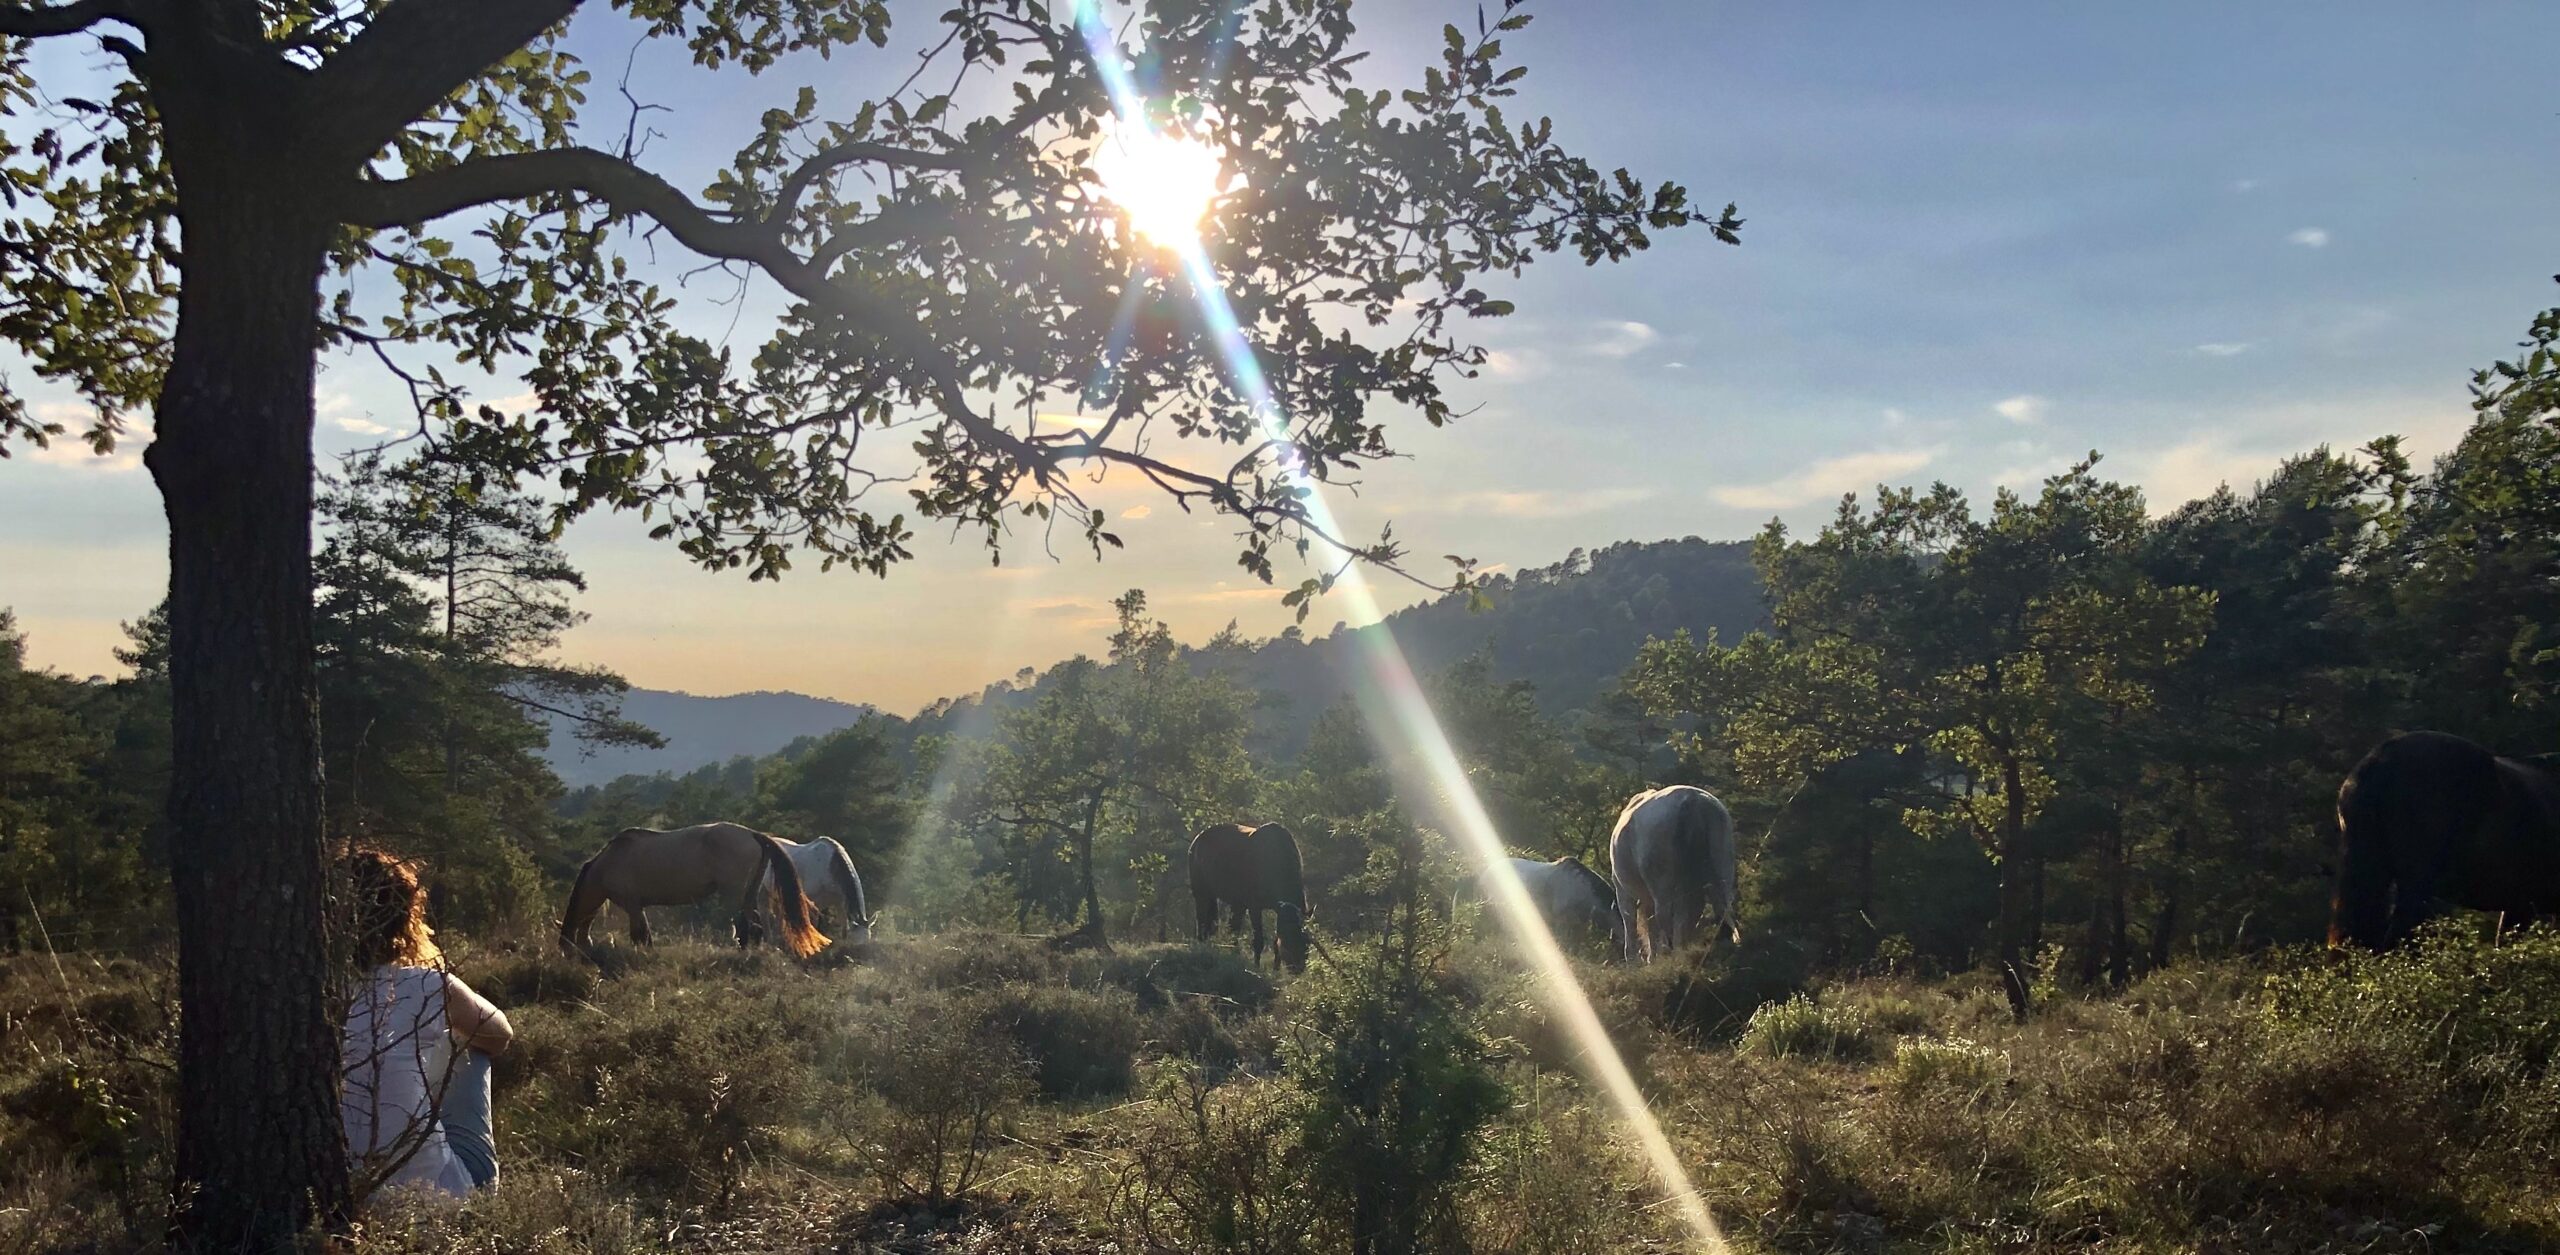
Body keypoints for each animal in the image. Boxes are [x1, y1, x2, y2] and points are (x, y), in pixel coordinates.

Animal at [560, 824, 829, 963]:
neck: (609, 862)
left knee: (745, 924)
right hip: (749, 893)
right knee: (754, 925)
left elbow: (640, 936)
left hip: (734, 893)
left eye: (566, 948)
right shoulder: (638, 907)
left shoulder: (633, 906)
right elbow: (644, 934)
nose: (570, 960)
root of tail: (752, 834)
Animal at [1187, 819, 1310, 973]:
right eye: (1290, 937)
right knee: (1202, 921)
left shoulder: (1278, 910)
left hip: (1231, 902)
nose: (1298, 969)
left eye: (1307, 941)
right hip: (1201, 894)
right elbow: (1258, 940)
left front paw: (1275, 970)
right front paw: (1256, 967)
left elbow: (1275, 942)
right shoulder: (1255, 907)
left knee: (1231, 928)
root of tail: (1196, 841)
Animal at [1464, 855, 1617, 957]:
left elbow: (1575, 945)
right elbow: (1564, 944)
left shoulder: (1580, 924)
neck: (1579, 889)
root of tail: (1484, 874)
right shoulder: (1561, 921)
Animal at [1597, 783, 1740, 968]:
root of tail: (1691, 800)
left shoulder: (1623, 891)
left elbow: (1631, 924)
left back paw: (1669, 955)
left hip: (1662, 884)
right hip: (1721, 868)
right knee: (1721, 909)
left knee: (1665, 917)